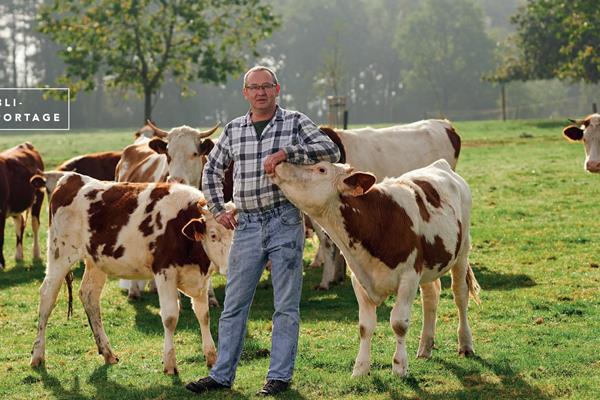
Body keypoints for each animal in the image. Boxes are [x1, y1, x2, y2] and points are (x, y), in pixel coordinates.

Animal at [0, 142, 44, 270]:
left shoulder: (1, 210)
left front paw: (1, 264)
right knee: (19, 223)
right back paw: (19, 255)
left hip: (38, 197)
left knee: (35, 224)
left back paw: (36, 253)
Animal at [29, 173, 232, 376]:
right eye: (213, 235)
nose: (229, 267)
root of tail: (70, 178)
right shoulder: (164, 272)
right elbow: (170, 317)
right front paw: (169, 363)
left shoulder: (200, 279)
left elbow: (203, 315)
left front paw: (211, 357)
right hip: (60, 254)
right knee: (47, 296)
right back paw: (37, 355)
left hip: (96, 262)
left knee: (89, 296)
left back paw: (107, 352)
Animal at [274, 160, 480, 378]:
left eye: (321, 169)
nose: (279, 163)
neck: (376, 222)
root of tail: (440, 165)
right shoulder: (359, 279)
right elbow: (365, 326)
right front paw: (360, 368)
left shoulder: (409, 277)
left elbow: (399, 323)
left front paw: (399, 366)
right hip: (429, 265)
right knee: (431, 298)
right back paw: (425, 347)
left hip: (462, 252)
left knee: (460, 295)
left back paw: (465, 344)